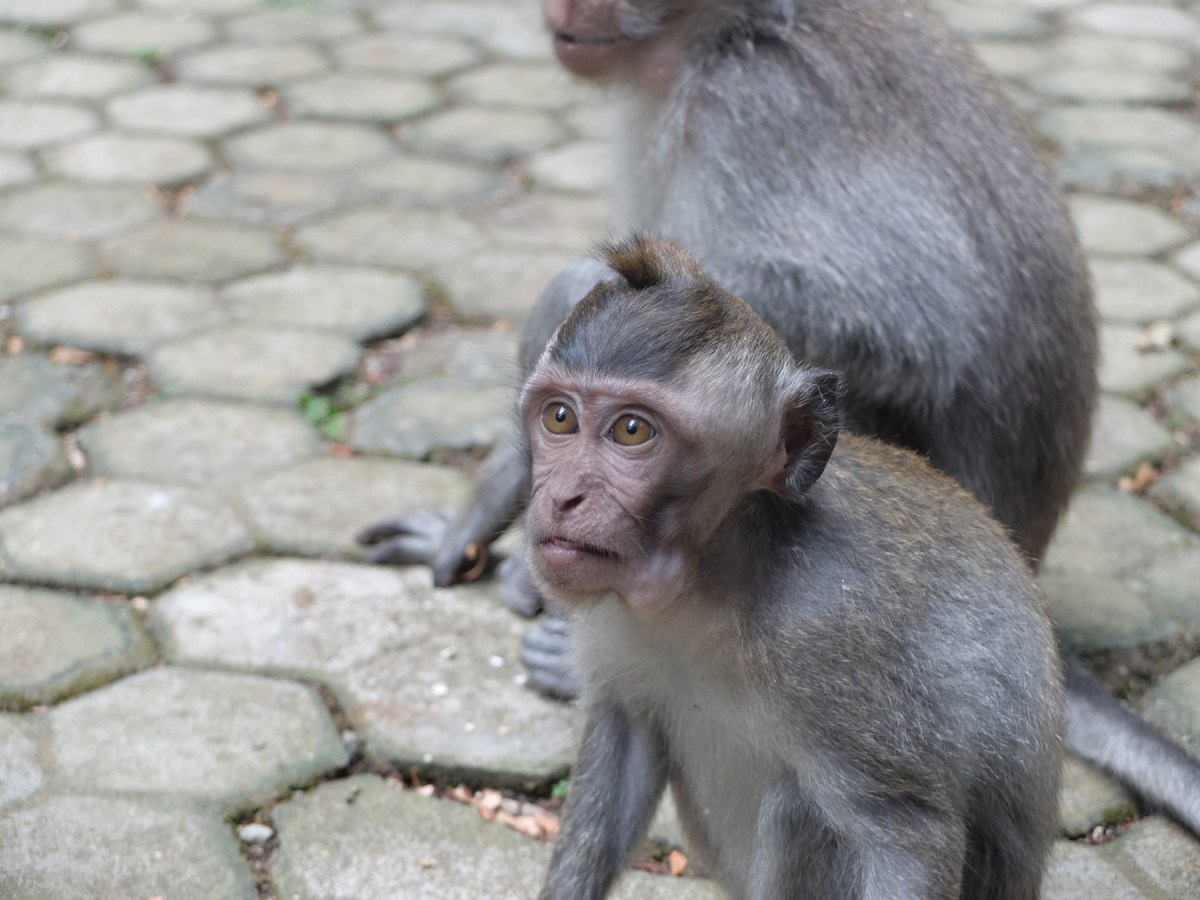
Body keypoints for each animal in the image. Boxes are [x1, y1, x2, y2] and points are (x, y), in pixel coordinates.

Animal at [527, 235, 1063, 900]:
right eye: (559, 418)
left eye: (631, 430)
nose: (561, 497)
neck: (705, 587)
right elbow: (623, 745)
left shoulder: (829, 639)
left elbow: (908, 837)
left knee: (800, 809)